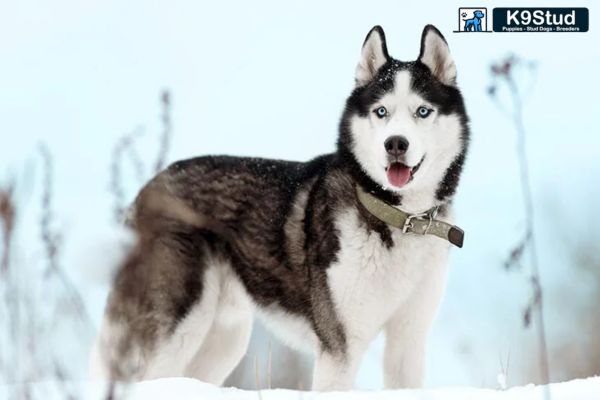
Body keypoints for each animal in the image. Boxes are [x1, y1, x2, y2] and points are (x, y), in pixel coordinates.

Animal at [91, 24, 472, 390]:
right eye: (382, 111)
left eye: (422, 111)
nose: (395, 144)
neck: (398, 219)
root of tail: (149, 188)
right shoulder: (340, 347)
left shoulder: (408, 341)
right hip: (183, 323)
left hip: (226, 337)